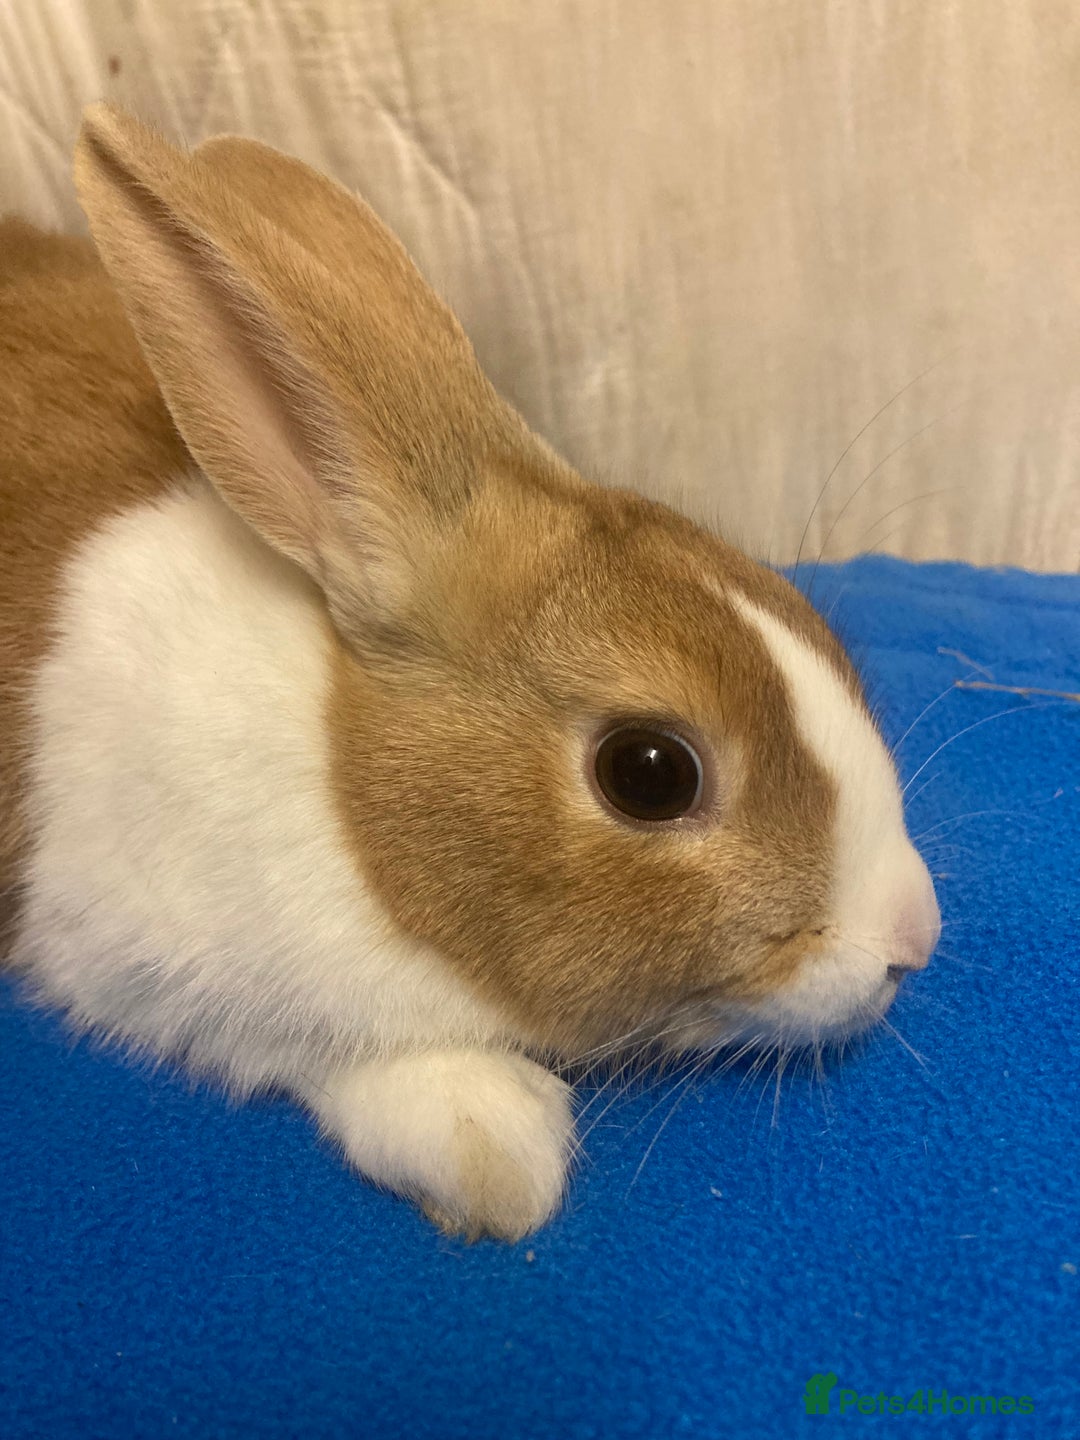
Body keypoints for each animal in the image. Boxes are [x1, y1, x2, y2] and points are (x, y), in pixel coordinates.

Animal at [0, 104, 940, 1240]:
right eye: (650, 773)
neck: (343, 795)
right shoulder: (118, 946)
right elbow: (299, 1046)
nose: (913, 936)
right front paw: (496, 1148)